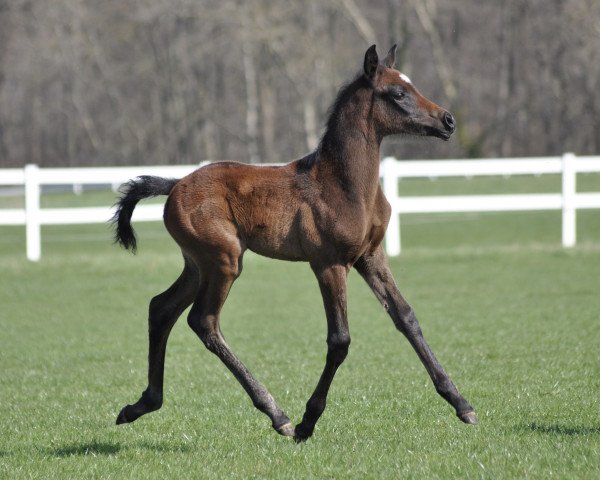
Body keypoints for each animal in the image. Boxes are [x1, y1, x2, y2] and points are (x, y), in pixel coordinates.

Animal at [112, 45, 478, 442]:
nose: (448, 121)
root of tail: (175, 183)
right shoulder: (329, 264)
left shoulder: (371, 257)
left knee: (161, 308)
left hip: (197, 264)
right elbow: (340, 340)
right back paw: (277, 414)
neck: (344, 185)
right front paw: (307, 421)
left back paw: (141, 405)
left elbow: (407, 318)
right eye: (397, 93)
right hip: (224, 261)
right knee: (203, 321)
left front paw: (462, 404)